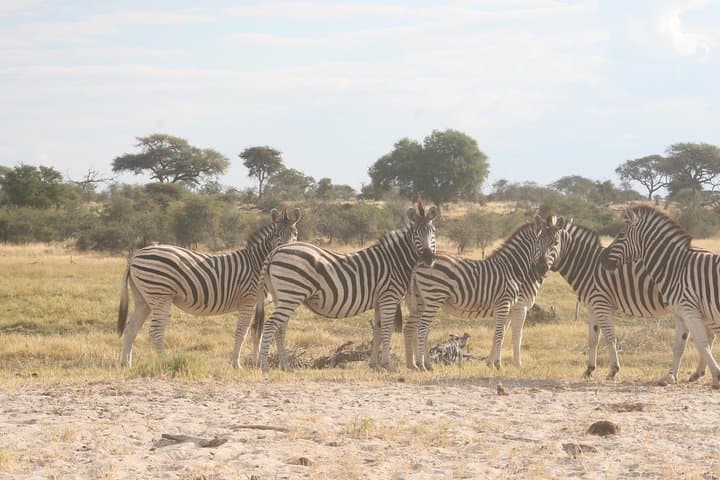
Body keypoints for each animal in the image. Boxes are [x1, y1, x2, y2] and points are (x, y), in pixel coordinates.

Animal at [117, 208, 301, 368]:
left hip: (144, 299)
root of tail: (135, 256)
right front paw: (237, 364)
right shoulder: (248, 300)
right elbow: (242, 332)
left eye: (295, 234)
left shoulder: (257, 304)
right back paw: (164, 360)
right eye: (277, 234)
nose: (287, 249)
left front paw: (254, 363)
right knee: (155, 330)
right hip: (160, 296)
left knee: (131, 328)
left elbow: (257, 333)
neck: (257, 263)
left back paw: (126, 363)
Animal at [254, 199, 439, 373]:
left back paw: (285, 366)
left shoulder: (379, 301)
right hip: (290, 294)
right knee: (270, 325)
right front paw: (387, 365)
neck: (394, 261)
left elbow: (378, 330)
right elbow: (387, 329)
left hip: (282, 297)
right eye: (415, 233)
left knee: (280, 328)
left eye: (433, 232)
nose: (429, 258)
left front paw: (374, 364)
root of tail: (275, 251)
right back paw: (265, 367)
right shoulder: (389, 297)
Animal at [404, 215, 571, 371]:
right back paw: (422, 365)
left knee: (417, 329)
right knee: (421, 329)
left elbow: (500, 334)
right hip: (433, 298)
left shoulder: (507, 308)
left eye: (555, 243)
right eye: (540, 243)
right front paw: (508, 365)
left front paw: (491, 363)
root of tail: (420, 261)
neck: (513, 268)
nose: (541, 269)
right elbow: (511, 335)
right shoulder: (512, 305)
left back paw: (423, 364)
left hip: (422, 301)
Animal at [600, 205, 720, 388]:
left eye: (621, 235)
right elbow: (679, 346)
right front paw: (669, 377)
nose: (601, 258)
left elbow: (701, 342)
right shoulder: (680, 313)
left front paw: (717, 376)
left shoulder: (690, 310)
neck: (676, 268)